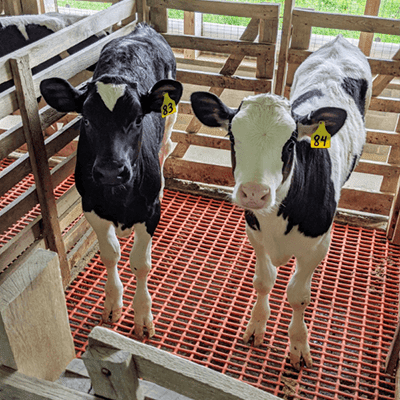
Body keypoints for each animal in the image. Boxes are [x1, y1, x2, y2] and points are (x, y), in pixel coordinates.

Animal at [39, 22, 182, 338]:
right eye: (86, 120)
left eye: (138, 119)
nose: (110, 171)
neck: (119, 197)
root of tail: (141, 27)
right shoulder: (92, 207)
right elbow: (111, 255)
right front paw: (113, 305)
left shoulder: (149, 213)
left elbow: (141, 263)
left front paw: (142, 316)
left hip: (170, 119)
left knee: (166, 147)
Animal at [191, 36, 372, 370]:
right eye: (232, 137)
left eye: (289, 144)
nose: (253, 193)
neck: (276, 218)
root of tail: (339, 41)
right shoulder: (256, 235)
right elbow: (264, 282)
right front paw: (256, 326)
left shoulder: (317, 246)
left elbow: (298, 296)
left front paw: (299, 346)